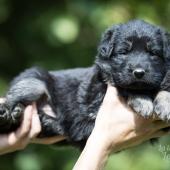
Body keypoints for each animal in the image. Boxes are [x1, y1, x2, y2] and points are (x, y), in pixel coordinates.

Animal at [0, 19, 170, 147]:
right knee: (12, 99)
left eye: (153, 53)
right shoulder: (95, 102)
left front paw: (164, 104)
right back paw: (7, 113)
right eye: (124, 52)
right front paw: (143, 101)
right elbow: (124, 85)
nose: (139, 73)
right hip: (34, 82)